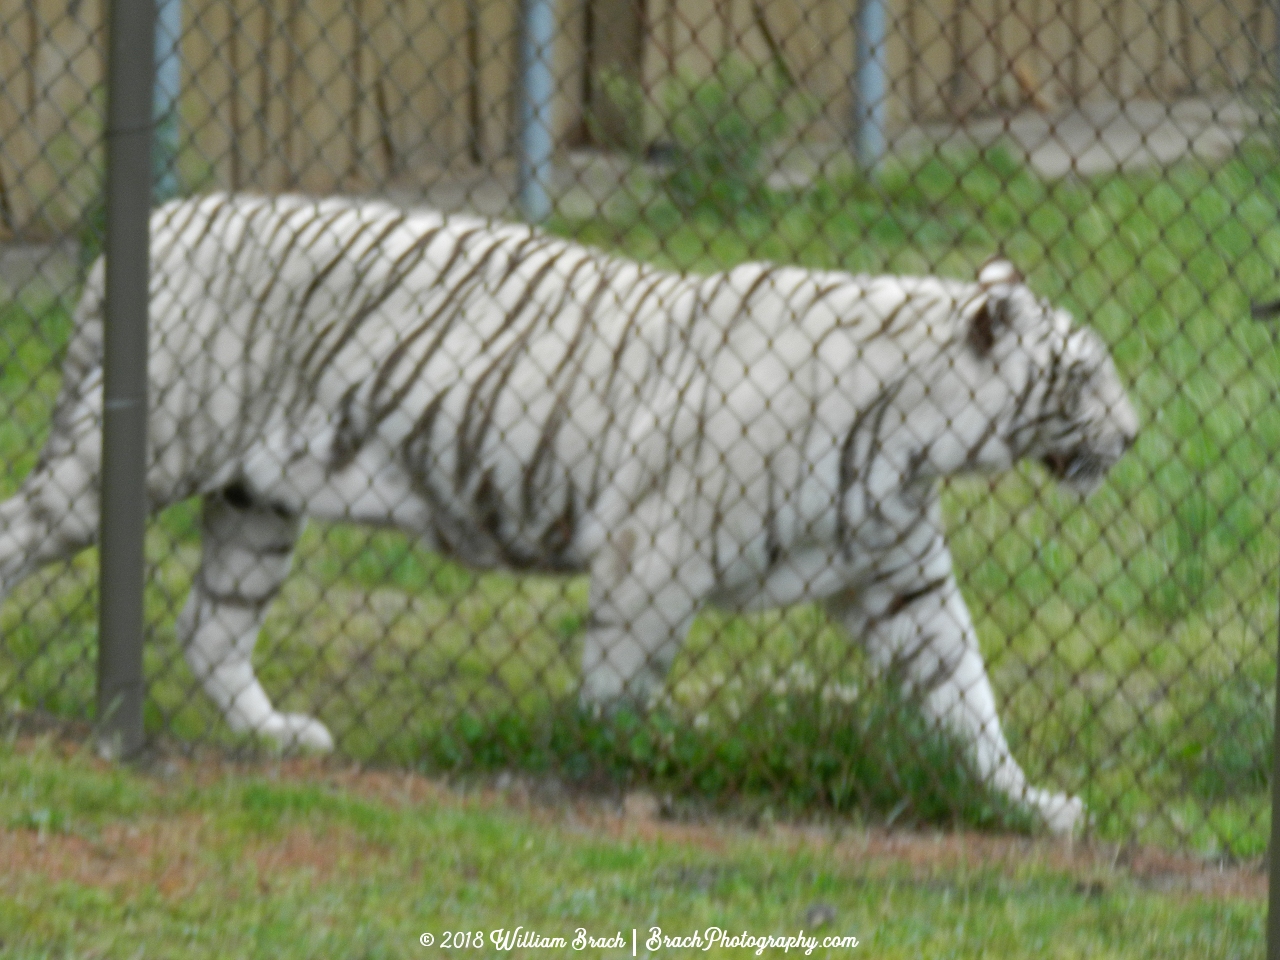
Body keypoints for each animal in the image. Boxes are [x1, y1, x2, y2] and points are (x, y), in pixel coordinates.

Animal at [2, 193, 1141, 834]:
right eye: (1084, 373)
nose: (1134, 435)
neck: (913, 445)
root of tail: (145, 225)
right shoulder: (656, 554)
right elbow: (619, 685)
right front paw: (608, 768)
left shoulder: (901, 578)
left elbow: (965, 697)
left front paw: (1030, 806)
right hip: (135, 454)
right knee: (21, 529)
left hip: (259, 501)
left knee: (210, 625)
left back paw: (281, 735)